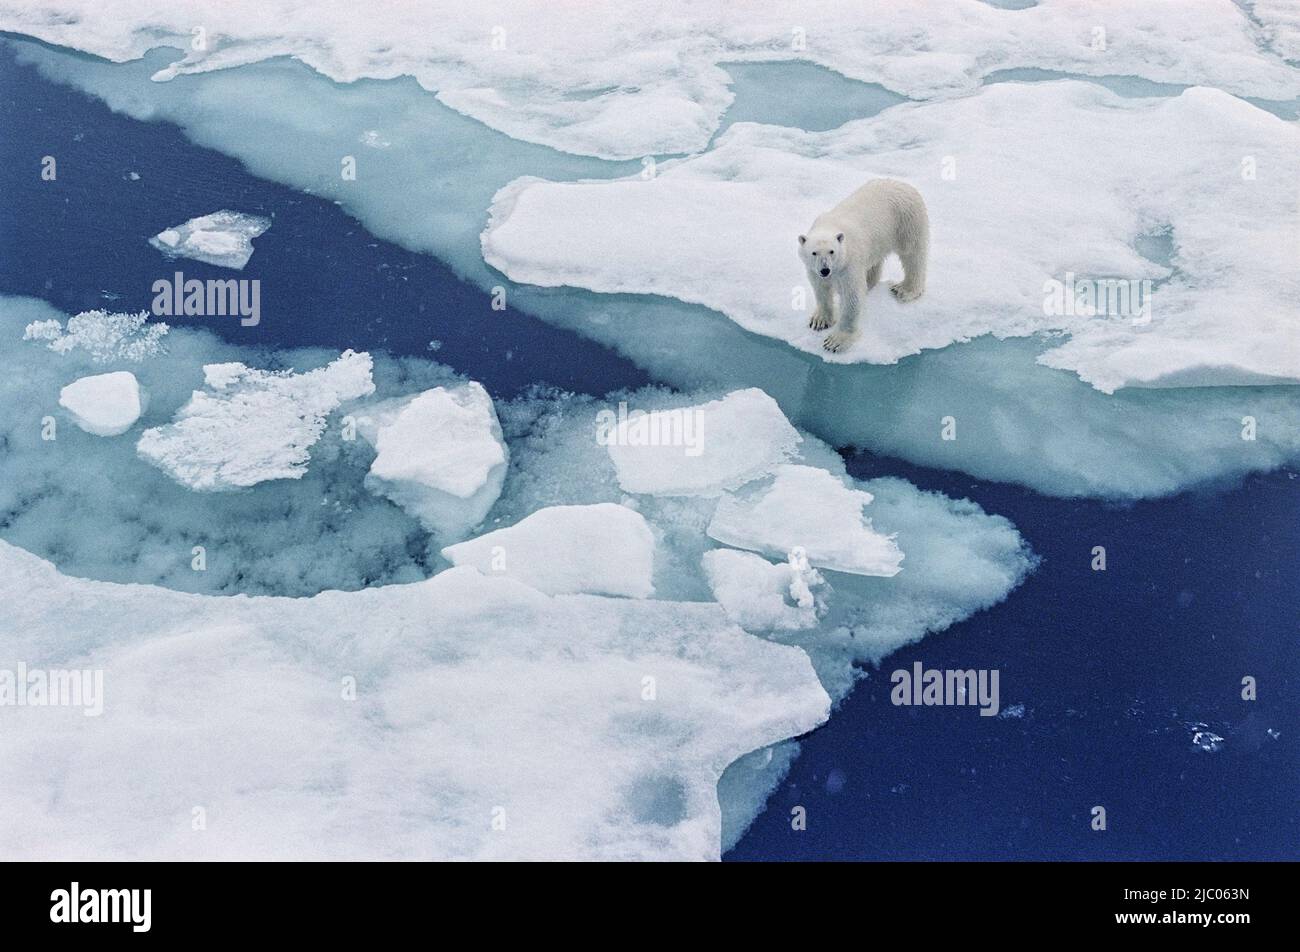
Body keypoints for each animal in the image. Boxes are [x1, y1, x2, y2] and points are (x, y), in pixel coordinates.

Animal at [798, 178, 929, 353]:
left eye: (832, 251)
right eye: (814, 253)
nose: (825, 270)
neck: (830, 226)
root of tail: (904, 184)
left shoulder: (849, 263)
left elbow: (852, 296)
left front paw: (836, 341)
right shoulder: (814, 270)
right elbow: (821, 289)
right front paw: (819, 321)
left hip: (907, 221)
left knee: (913, 255)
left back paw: (905, 289)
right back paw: (871, 281)